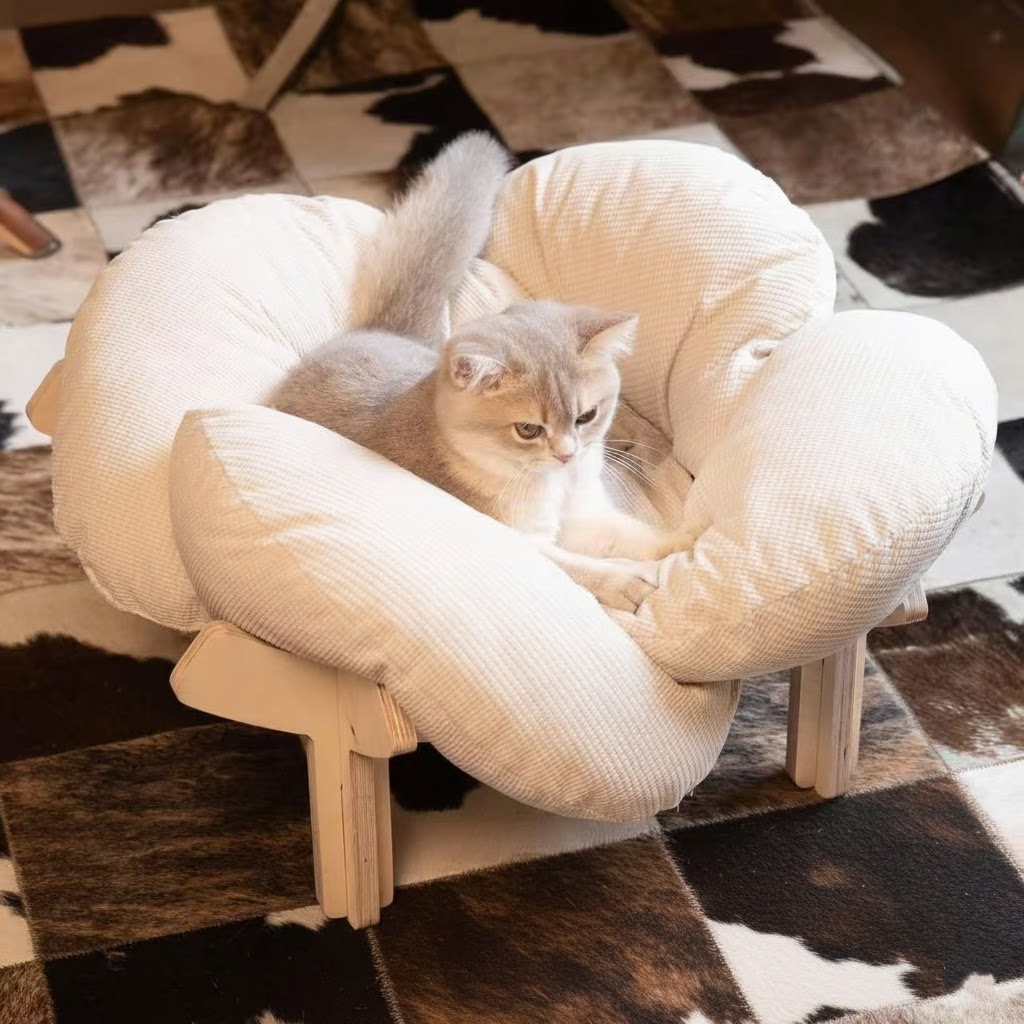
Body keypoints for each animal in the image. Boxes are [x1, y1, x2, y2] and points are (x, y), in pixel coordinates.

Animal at [271, 133, 686, 612]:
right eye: (528, 429)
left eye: (586, 416)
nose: (567, 454)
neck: (558, 486)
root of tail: (375, 331)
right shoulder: (526, 540)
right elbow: (581, 570)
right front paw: (631, 581)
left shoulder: (583, 514)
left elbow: (633, 534)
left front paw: (684, 542)